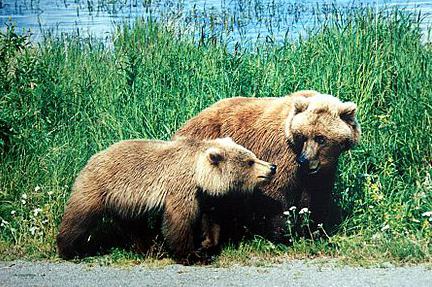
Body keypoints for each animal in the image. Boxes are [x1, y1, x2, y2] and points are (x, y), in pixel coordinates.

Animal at [56, 137, 276, 260]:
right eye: (250, 161)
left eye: (253, 155)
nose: (272, 167)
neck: (199, 175)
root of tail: (92, 157)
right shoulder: (180, 187)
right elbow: (179, 221)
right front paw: (192, 255)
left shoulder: (204, 195)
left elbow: (211, 218)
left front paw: (207, 244)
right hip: (100, 187)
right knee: (80, 216)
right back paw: (69, 250)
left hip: (126, 201)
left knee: (134, 226)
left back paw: (149, 249)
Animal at [174, 90, 360, 243]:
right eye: (302, 136)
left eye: (320, 138)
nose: (304, 160)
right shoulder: (283, 155)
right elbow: (276, 193)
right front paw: (284, 235)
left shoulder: (323, 171)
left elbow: (316, 196)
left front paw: (314, 230)